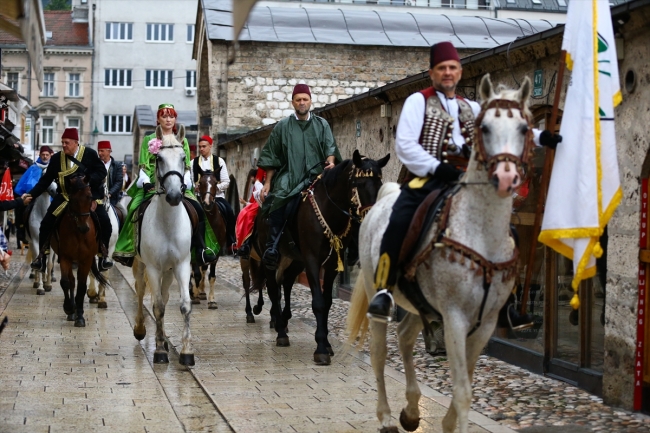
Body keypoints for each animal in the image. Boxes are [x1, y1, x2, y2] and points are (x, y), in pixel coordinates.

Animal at [51, 174, 109, 326]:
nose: (84, 228)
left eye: (89, 197)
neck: (78, 233)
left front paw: (80, 316)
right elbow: (66, 282)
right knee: (71, 281)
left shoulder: (86, 260)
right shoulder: (65, 257)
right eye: (72, 199)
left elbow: (82, 287)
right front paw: (69, 308)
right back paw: (72, 311)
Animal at [130, 124, 194, 364]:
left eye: (184, 157)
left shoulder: (182, 265)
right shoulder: (153, 268)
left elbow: (184, 305)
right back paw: (141, 329)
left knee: (165, 297)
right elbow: (157, 307)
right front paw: (158, 351)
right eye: (158, 158)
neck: (167, 224)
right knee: (141, 291)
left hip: (168, 271)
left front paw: (186, 352)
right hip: (142, 265)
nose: (175, 196)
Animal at [192, 170, 228, 308]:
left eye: (215, 183)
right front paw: (194, 295)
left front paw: (212, 300)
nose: (208, 204)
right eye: (200, 183)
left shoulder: (215, 254)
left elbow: (211, 276)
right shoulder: (194, 249)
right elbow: (195, 273)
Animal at [254, 150, 388, 362]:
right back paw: (281, 332)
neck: (330, 211)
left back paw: (283, 320)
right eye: (358, 183)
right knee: (274, 289)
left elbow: (327, 302)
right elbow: (317, 302)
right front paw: (321, 349)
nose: (370, 217)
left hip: (295, 260)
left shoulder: (332, 265)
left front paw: (326, 343)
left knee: (287, 283)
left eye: (379, 183)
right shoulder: (312, 261)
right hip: (271, 260)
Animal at [346, 75, 528, 432]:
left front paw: (444, 421)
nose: (506, 177)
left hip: (422, 306)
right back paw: (386, 416)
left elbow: (465, 384)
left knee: (404, 337)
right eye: (485, 127)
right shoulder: (455, 317)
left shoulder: (485, 323)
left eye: (524, 128)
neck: (480, 233)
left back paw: (411, 411)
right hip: (378, 293)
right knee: (378, 352)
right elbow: (463, 392)